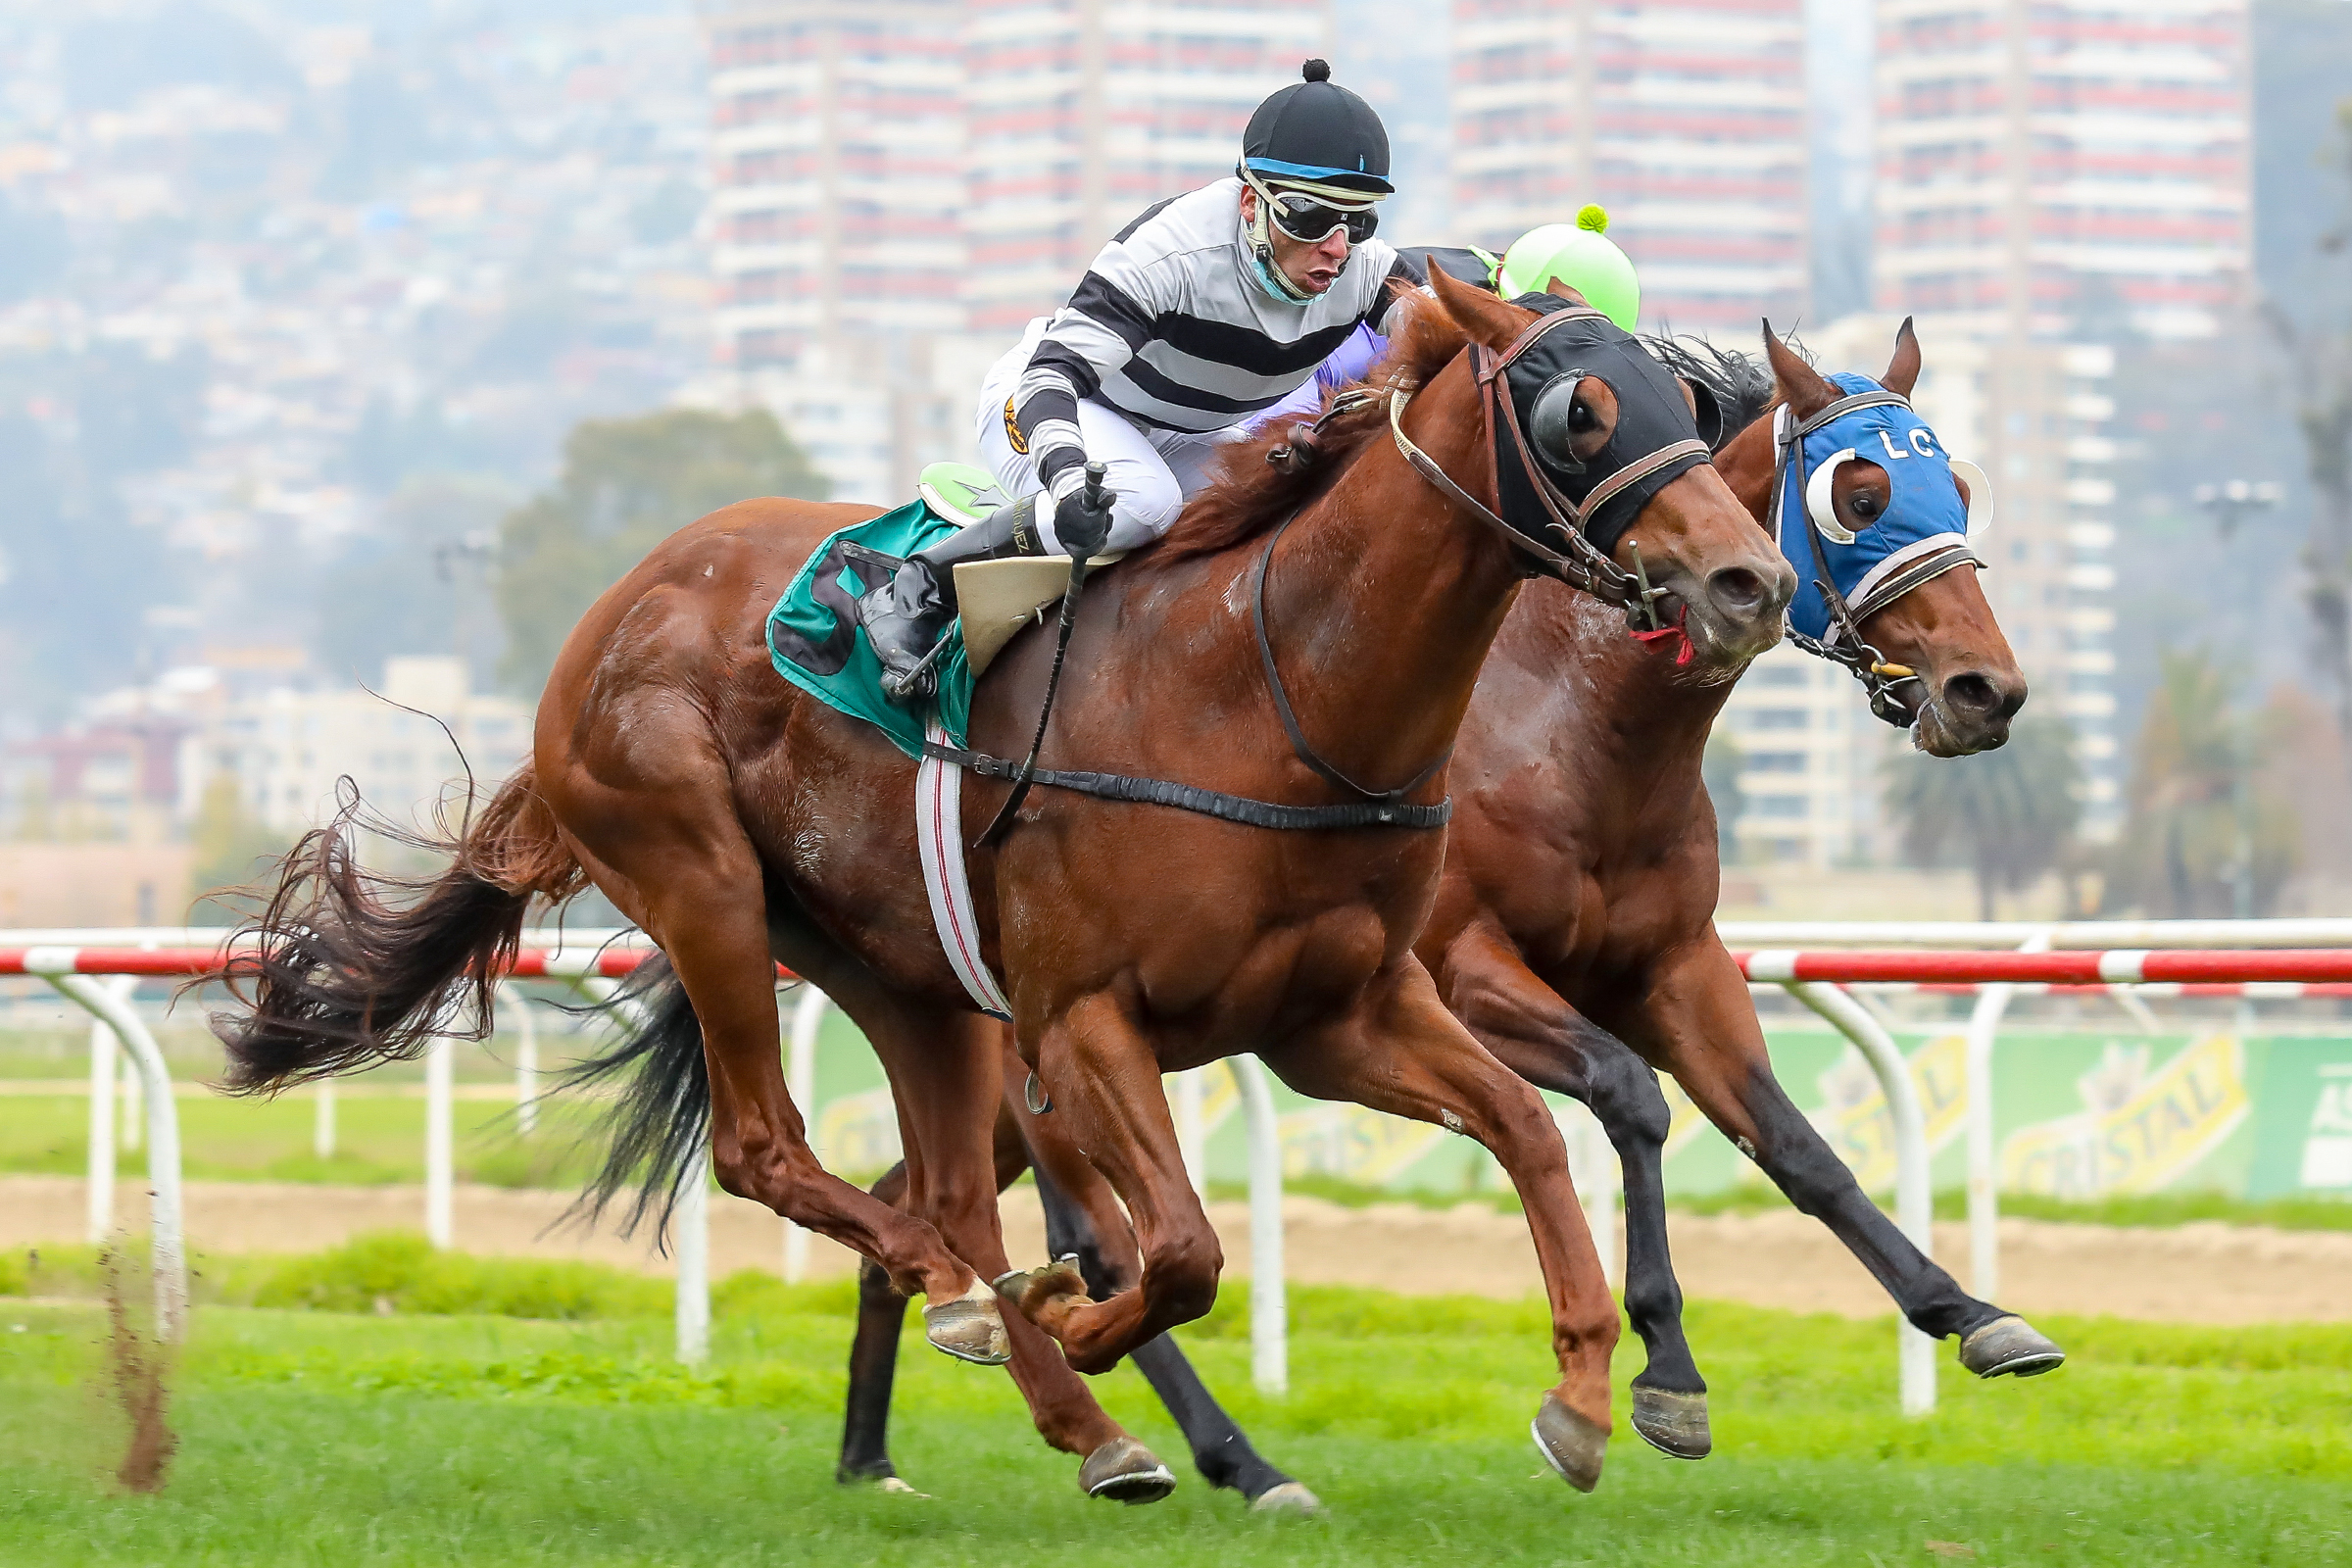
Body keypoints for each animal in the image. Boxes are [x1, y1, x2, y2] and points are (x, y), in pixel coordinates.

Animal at [207, 264, 1793, 1501]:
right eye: (1579, 413)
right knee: (779, 1155)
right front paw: (1085, 1323)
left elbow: (1528, 1132)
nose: (1749, 584)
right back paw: (1001, 1321)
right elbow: (1183, 1252)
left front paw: (1592, 1398)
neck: (1270, 685)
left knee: (950, 1190)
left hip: (904, 977)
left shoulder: (1337, 1016)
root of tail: (621, 603)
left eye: (1684, 403)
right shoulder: (1086, 1019)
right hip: (703, 881)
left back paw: (1076, 1412)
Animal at [828, 317, 2057, 1498]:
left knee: (929, 1210)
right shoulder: (1462, 965)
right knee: (1075, 1237)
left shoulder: (1670, 961)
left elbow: (1794, 1143)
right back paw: (1194, 1451)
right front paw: (1666, 1374)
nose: (1986, 690)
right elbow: (1630, 1094)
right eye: (1862, 495)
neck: (1566, 719)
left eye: (1955, 483)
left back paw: (880, 1447)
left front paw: (1973, 1314)